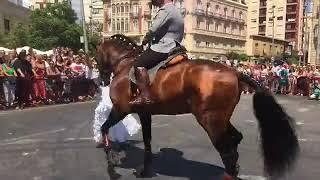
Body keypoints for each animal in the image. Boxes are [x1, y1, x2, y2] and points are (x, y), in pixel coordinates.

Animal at [94, 34, 298, 179]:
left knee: (225, 147)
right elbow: (147, 142)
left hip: (210, 119)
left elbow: (104, 128)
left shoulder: (120, 109)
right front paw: (145, 170)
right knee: (234, 140)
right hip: (220, 118)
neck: (125, 64)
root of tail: (235, 72)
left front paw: (111, 163)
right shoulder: (145, 114)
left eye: (96, 57)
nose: (101, 79)